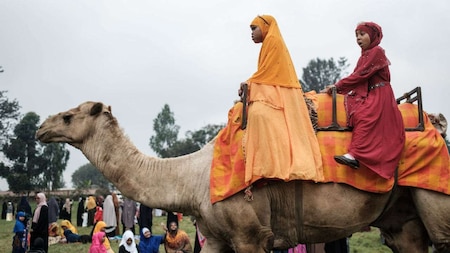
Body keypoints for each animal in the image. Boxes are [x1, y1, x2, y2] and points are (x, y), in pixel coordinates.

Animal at [36, 101, 450, 253]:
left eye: (69, 116)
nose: (41, 127)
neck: (193, 177)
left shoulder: (251, 235)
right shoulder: (217, 236)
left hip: (436, 196)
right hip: (402, 217)